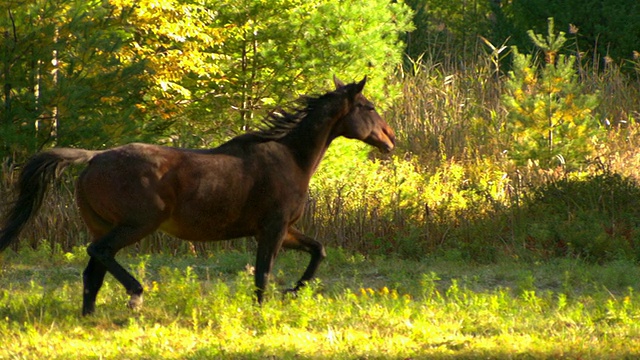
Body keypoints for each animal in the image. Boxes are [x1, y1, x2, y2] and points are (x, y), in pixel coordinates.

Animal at [0, 76, 396, 316]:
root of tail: (94, 157)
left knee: (92, 272)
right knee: (100, 253)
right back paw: (135, 295)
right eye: (369, 107)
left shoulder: (283, 230)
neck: (289, 157)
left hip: (104, 225)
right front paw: (263, 309)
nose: (390, 138)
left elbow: (318, 250)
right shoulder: (273, 228)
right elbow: (263, 273)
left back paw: (90, 316)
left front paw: (293, 292)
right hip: (137, 225)